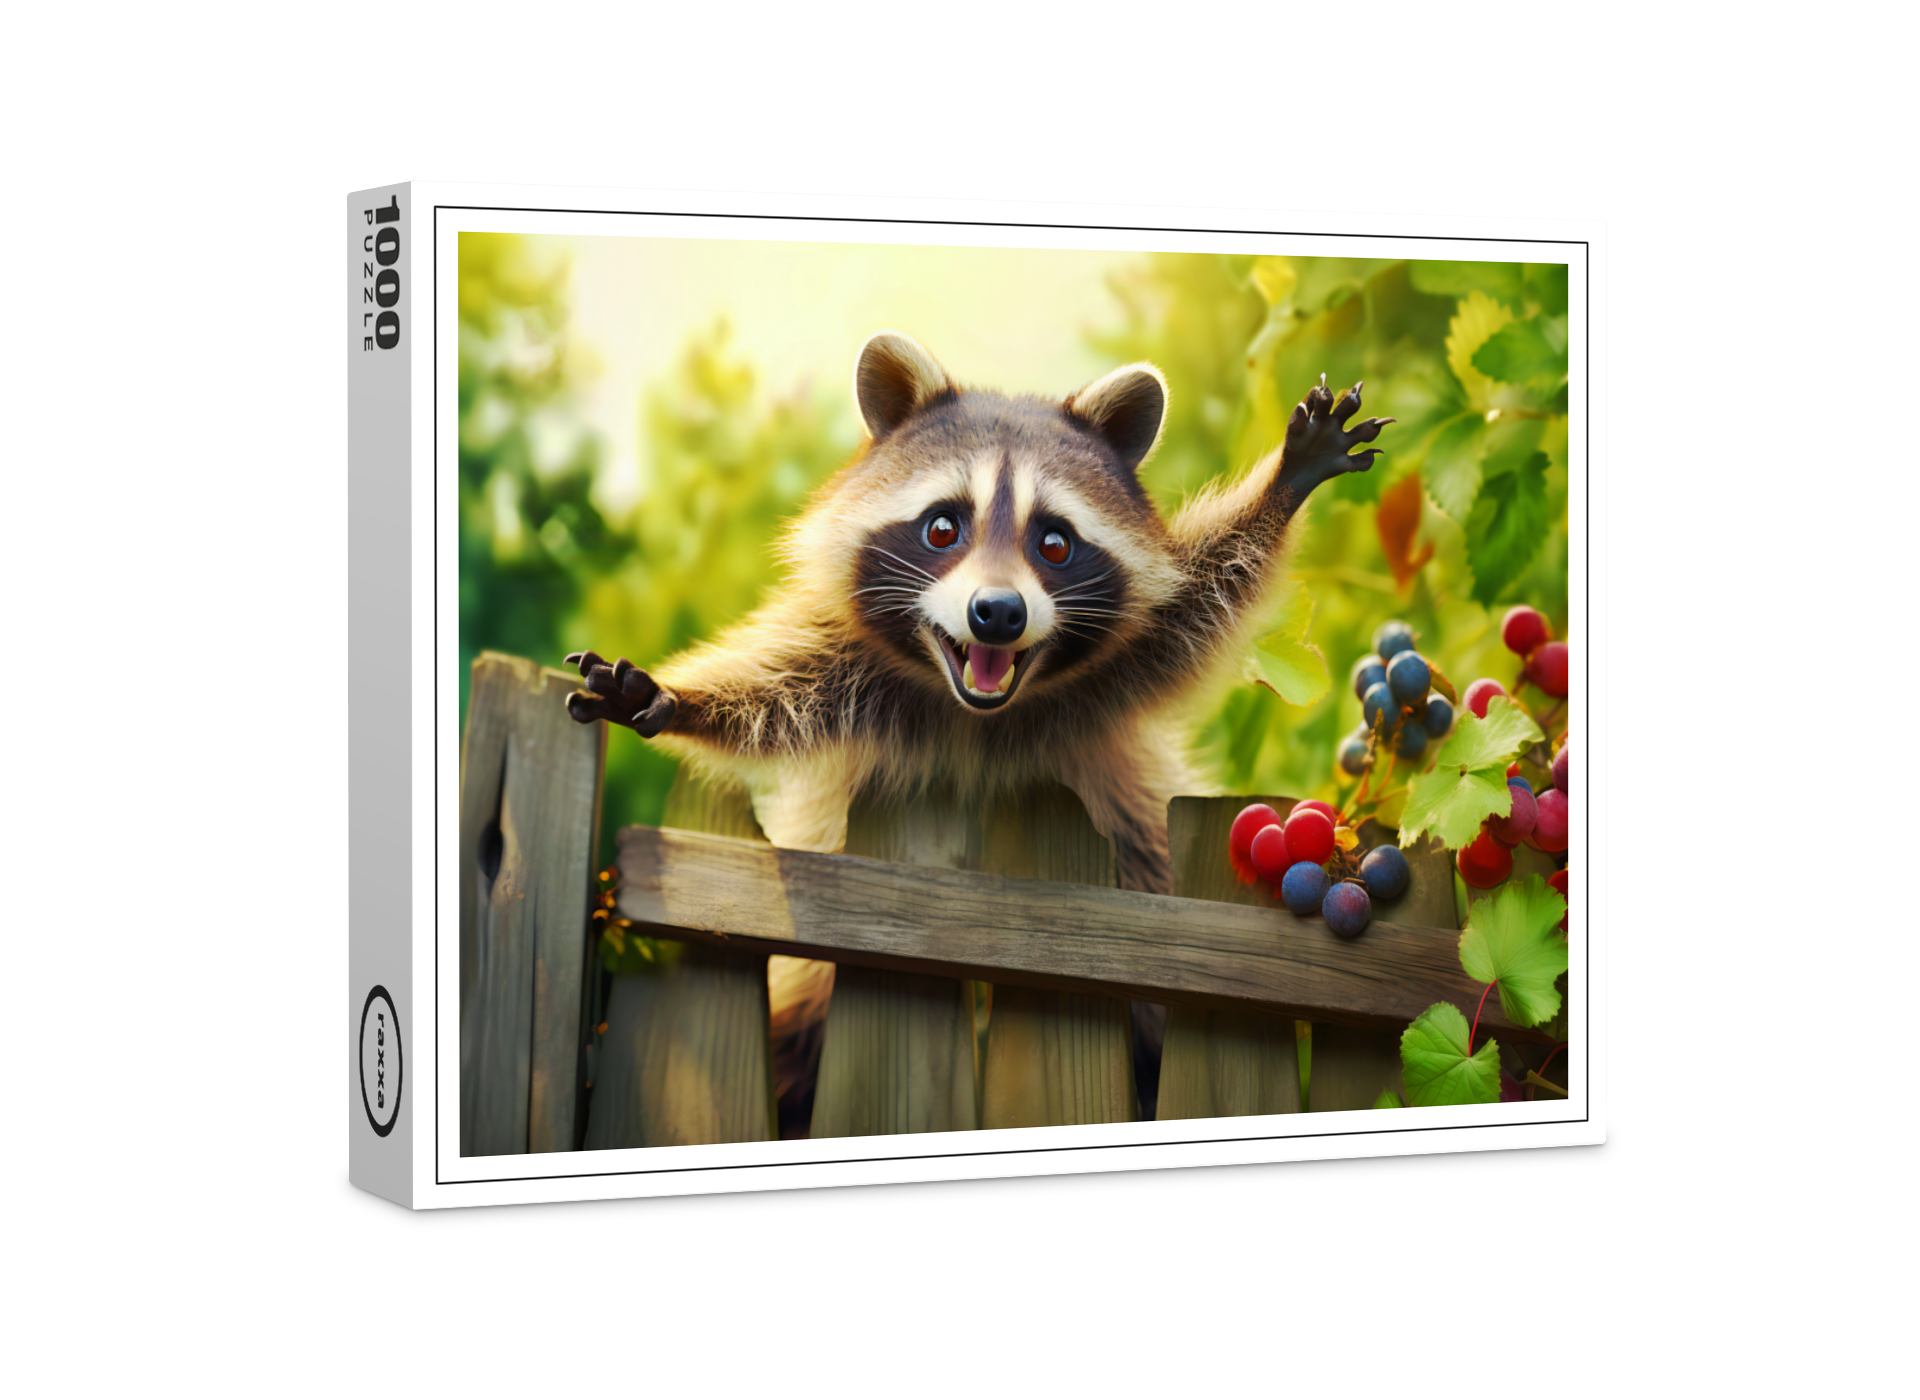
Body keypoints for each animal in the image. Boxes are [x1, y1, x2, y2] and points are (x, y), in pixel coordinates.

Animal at [565, 332, 1391, 1126]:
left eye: (1054, 542)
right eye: (942, 527)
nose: (998, 613)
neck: (976, 711)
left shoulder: (1113, 674)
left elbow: (1202, 599)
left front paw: (1282, 485)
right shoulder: (855, 674)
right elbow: (771, 696)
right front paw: (672, 697)